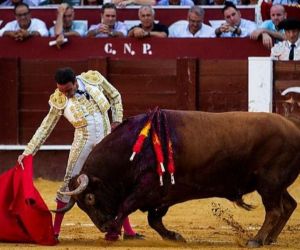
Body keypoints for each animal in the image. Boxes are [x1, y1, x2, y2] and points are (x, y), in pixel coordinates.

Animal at [57, 109, 300, 246]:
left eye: (90, 198)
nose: (103, 226)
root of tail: (293, 127)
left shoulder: (148, 188)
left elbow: (127, 206)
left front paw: (114, 231)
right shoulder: (164, 195)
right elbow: (153, 219)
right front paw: (173, 236)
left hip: (269, 183)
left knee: (274, 210)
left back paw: (257, 239)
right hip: (277, 186)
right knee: (288, 205)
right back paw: (270, 239)